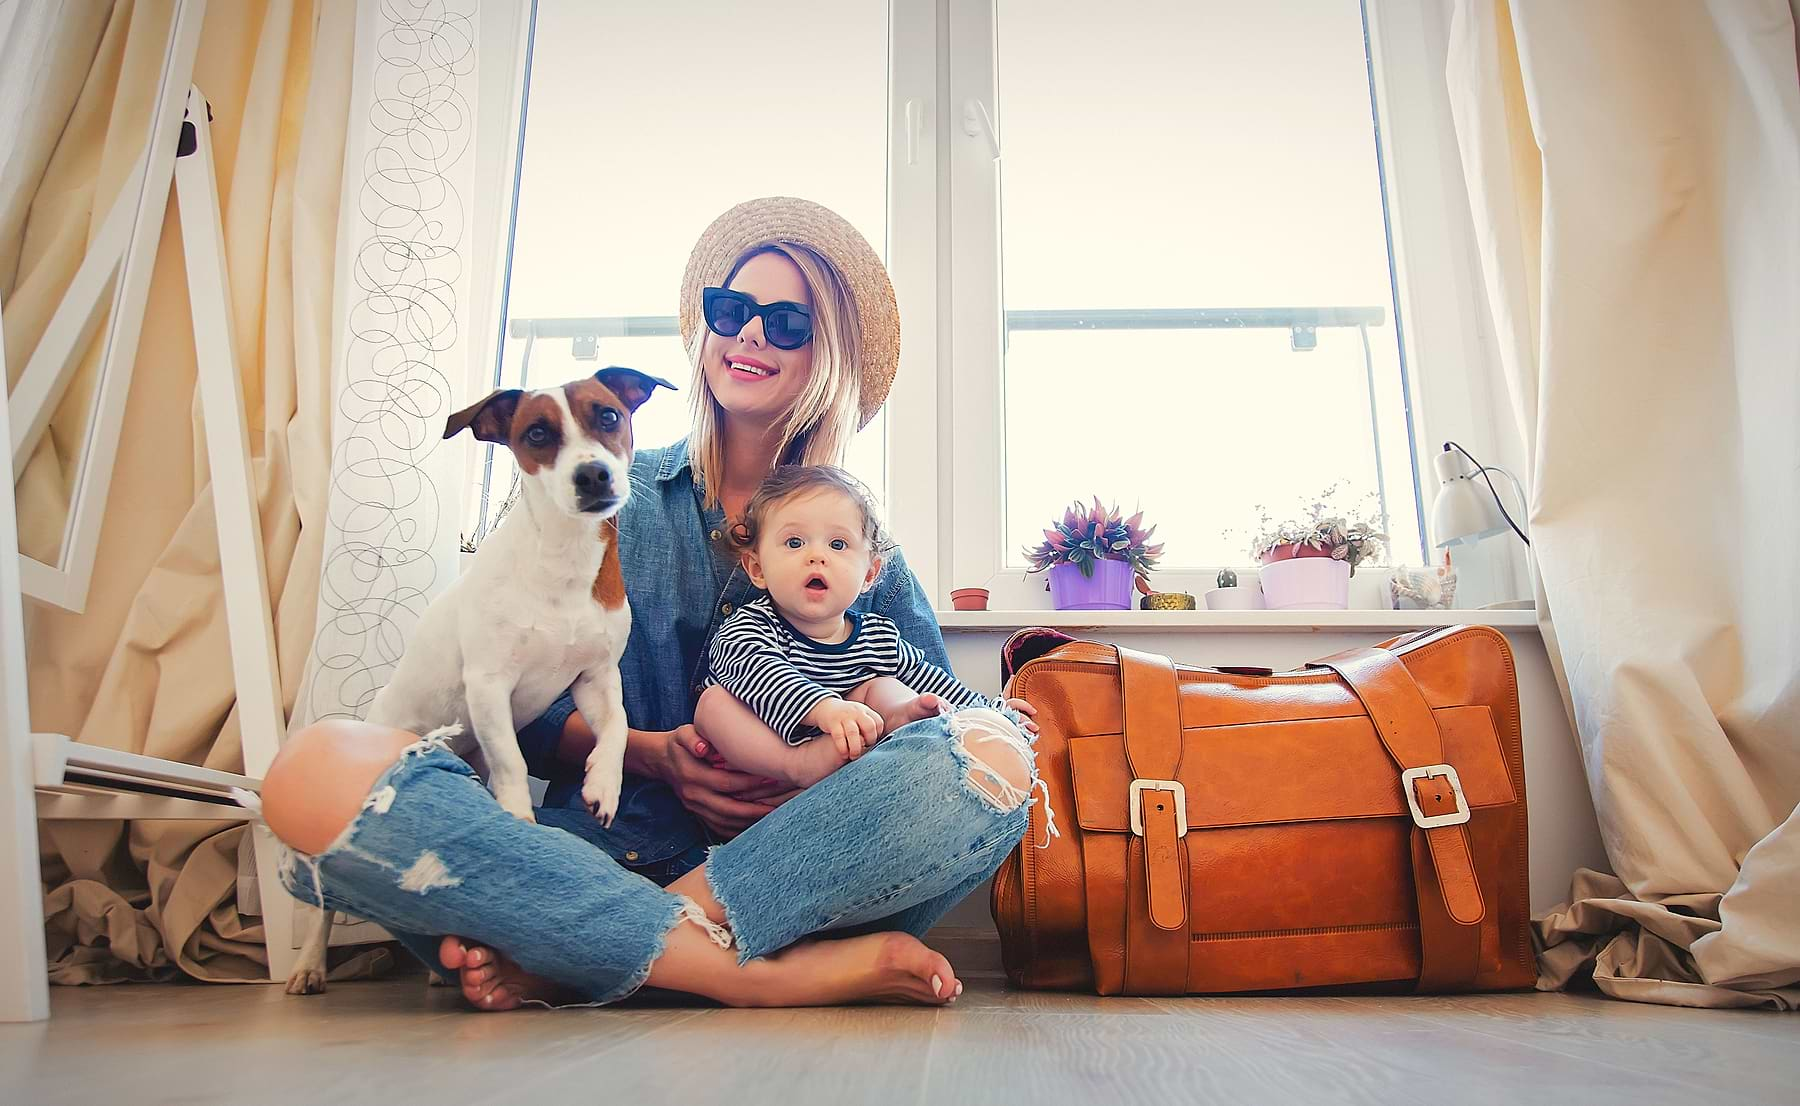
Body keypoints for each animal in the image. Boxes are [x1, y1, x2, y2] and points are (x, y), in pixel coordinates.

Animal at [280, 365, 676, 994]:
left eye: (609, 415)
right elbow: (512, 761)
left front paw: (602, 786)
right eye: (537, 433)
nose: (593, 474)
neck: (561, 560)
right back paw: (310, 965)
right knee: (324, 901)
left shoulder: (596, 679)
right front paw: (518, 816)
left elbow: (615, 731)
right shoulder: (490, 684)